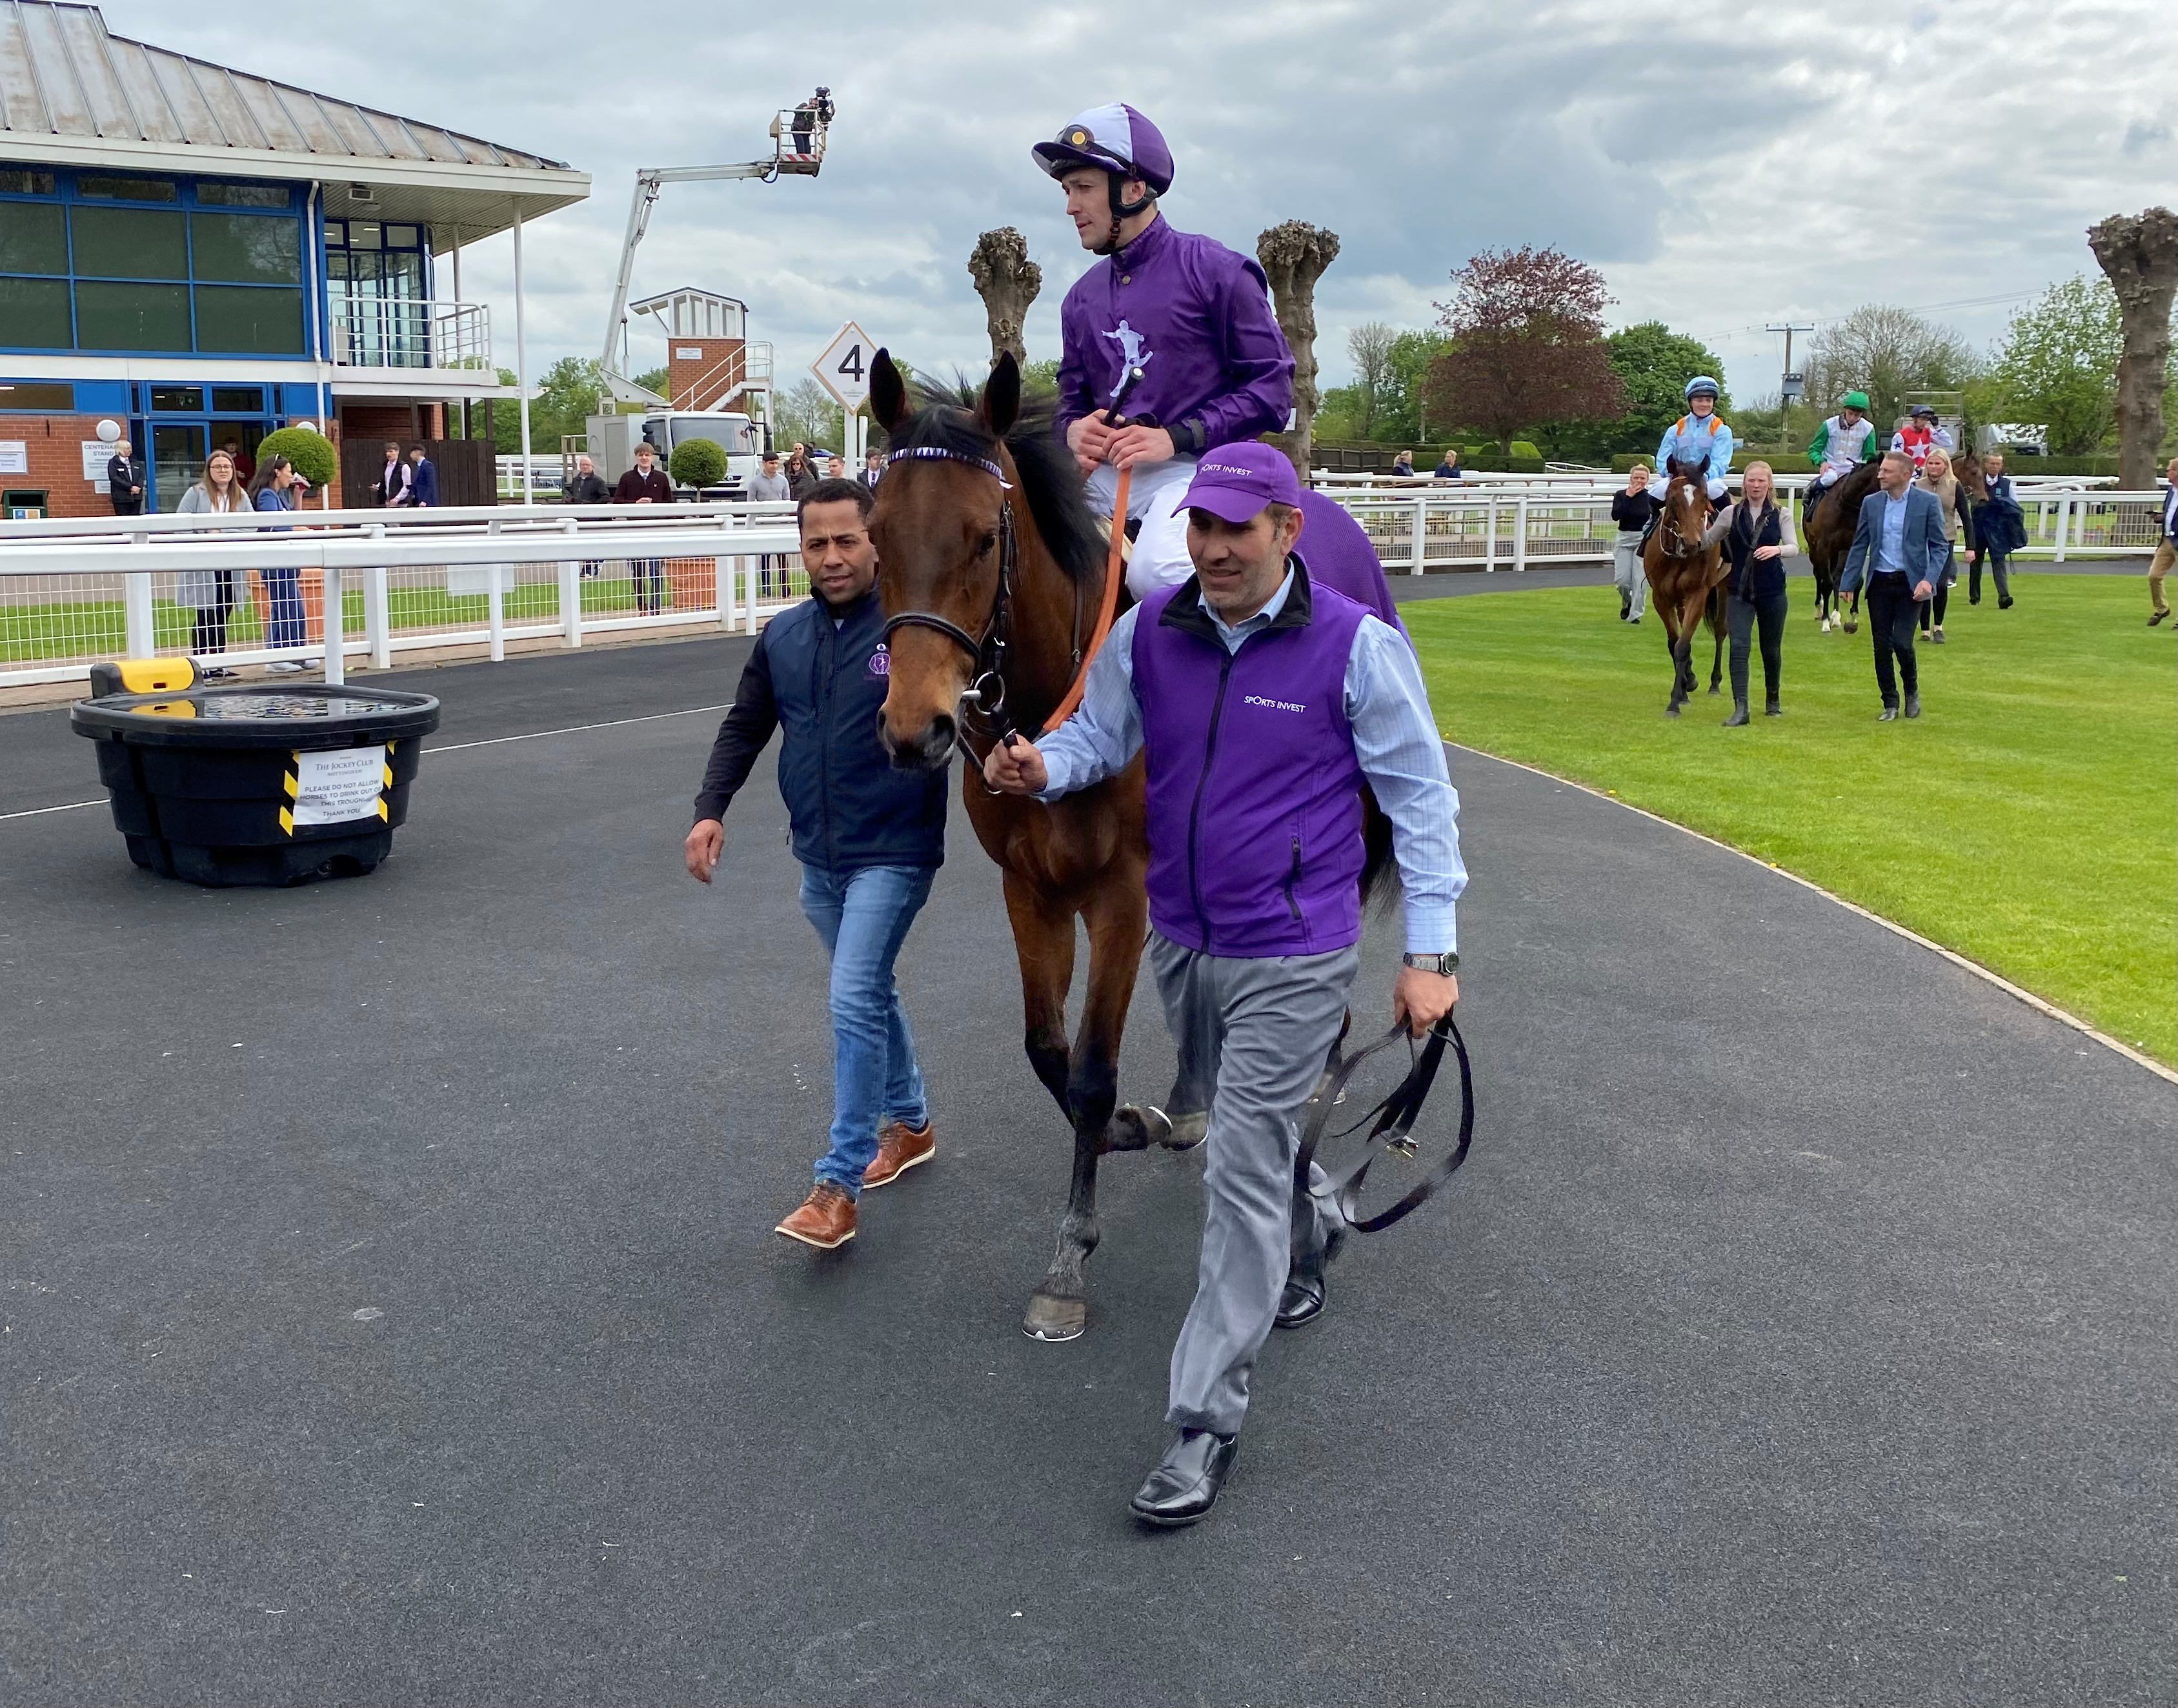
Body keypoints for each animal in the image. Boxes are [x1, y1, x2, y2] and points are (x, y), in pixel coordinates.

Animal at [1638, 453, 1725, 714]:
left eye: (1704, 497)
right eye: (1672, 498)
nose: (1692, 543)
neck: (1679, 555)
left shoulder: (1698, 593)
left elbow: (1683, 646)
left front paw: (1676, 701)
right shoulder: (1661, 597)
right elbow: (1673, 643)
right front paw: (1686, 685)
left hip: (1723, 588)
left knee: (1720, 631)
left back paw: (1715, 683)